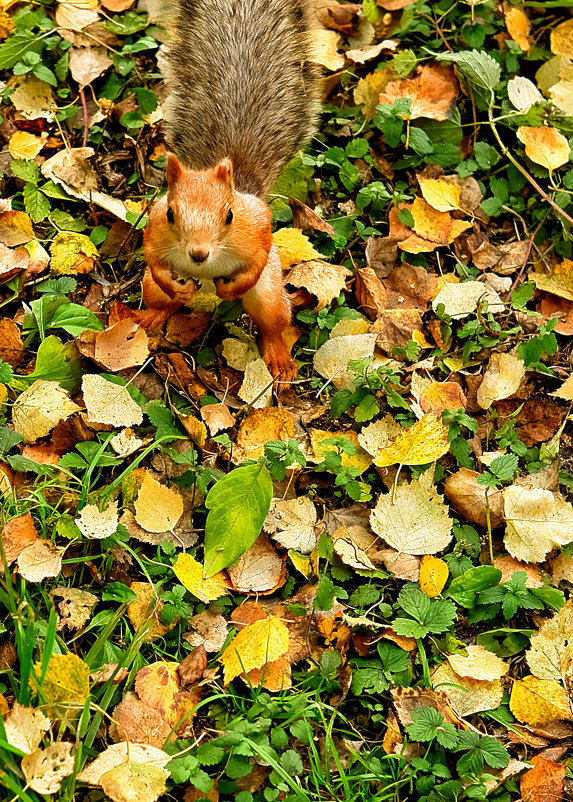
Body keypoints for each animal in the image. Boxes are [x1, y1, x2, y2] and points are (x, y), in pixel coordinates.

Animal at [139, 0, 318, 382]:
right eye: (171, 213)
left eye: (230, 216)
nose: (198, 254)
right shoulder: (154, 229)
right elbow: (155, 263)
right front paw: (173, 284)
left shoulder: (257, 227)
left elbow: (258, 258)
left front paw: (232, 287)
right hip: (149, 289)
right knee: (162, 300)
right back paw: (151, 316)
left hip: (270, 296)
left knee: (273, 323)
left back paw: (279, 359)